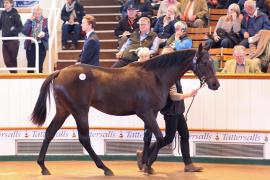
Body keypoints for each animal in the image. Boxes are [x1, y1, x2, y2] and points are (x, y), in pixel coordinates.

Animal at [30, 44, 219, 176]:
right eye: (204, 62)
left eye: (213, 62)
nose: (215, 84)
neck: (155, 76)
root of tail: (60, 72)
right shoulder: (145, 113)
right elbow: (160, 137)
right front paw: (148, 165)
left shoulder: (151, 114)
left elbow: (148, 137)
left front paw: (144, 163)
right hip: (80, 111)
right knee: (84, 138)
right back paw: (105, 168)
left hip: (64, 110)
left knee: (49, 132)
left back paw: (43, 167)